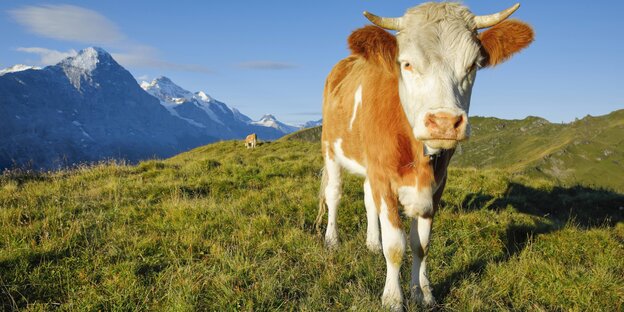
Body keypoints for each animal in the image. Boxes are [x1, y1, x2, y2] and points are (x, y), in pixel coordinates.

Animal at [320, 2, 532, 310]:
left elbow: (421, 244)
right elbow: (395, 245)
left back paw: (372, 243)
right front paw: (393, 298)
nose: (444, 122)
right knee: (334, 194)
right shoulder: (384, 178)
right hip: (330, 148)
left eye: (473, 65)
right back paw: (332, 239)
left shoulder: (436, 184)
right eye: (407, 63)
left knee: (367, 198)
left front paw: (423, 293)